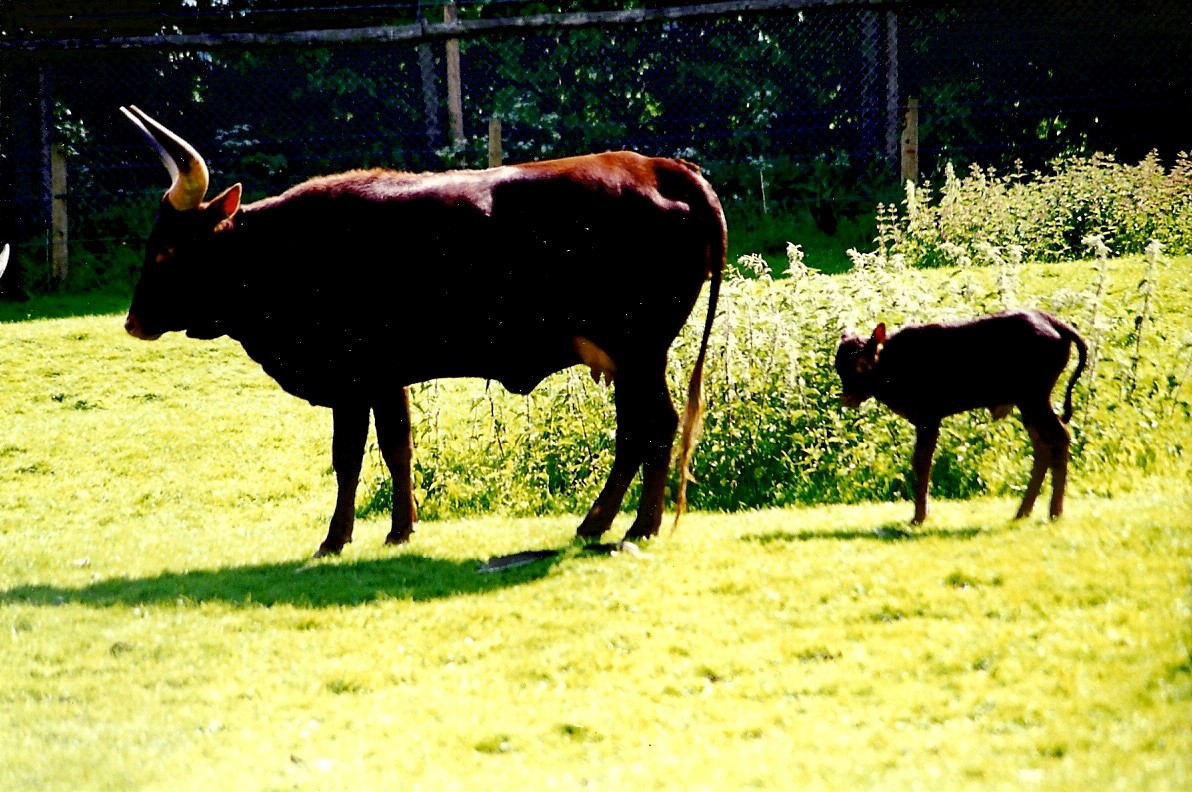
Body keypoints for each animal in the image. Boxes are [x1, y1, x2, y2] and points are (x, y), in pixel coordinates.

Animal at [120, 106, 725, 557]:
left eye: (167, 249)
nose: (133, 321)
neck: (289, 248)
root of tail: (660, 167)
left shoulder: (356, 378)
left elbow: (355, 456)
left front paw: (341, 538)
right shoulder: (385, 380)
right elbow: (393, 449)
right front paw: (397, 528)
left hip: (639, 350)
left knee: (655, 427)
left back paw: (636, 526)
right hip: (629, 358)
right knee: (636, 431)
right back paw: (598, 523)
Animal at [834, 309, 1088, 524]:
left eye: (862, 363)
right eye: (839, 366)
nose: (847, 398)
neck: (894, 365)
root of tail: (1055, 324)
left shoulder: (929, 416)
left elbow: (921, 462)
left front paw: (919, 517)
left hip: (1034, 398)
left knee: (1060, 437)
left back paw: (1054, 512)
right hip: (1027, 403)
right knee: (1042, 446)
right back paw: (1023, 511)